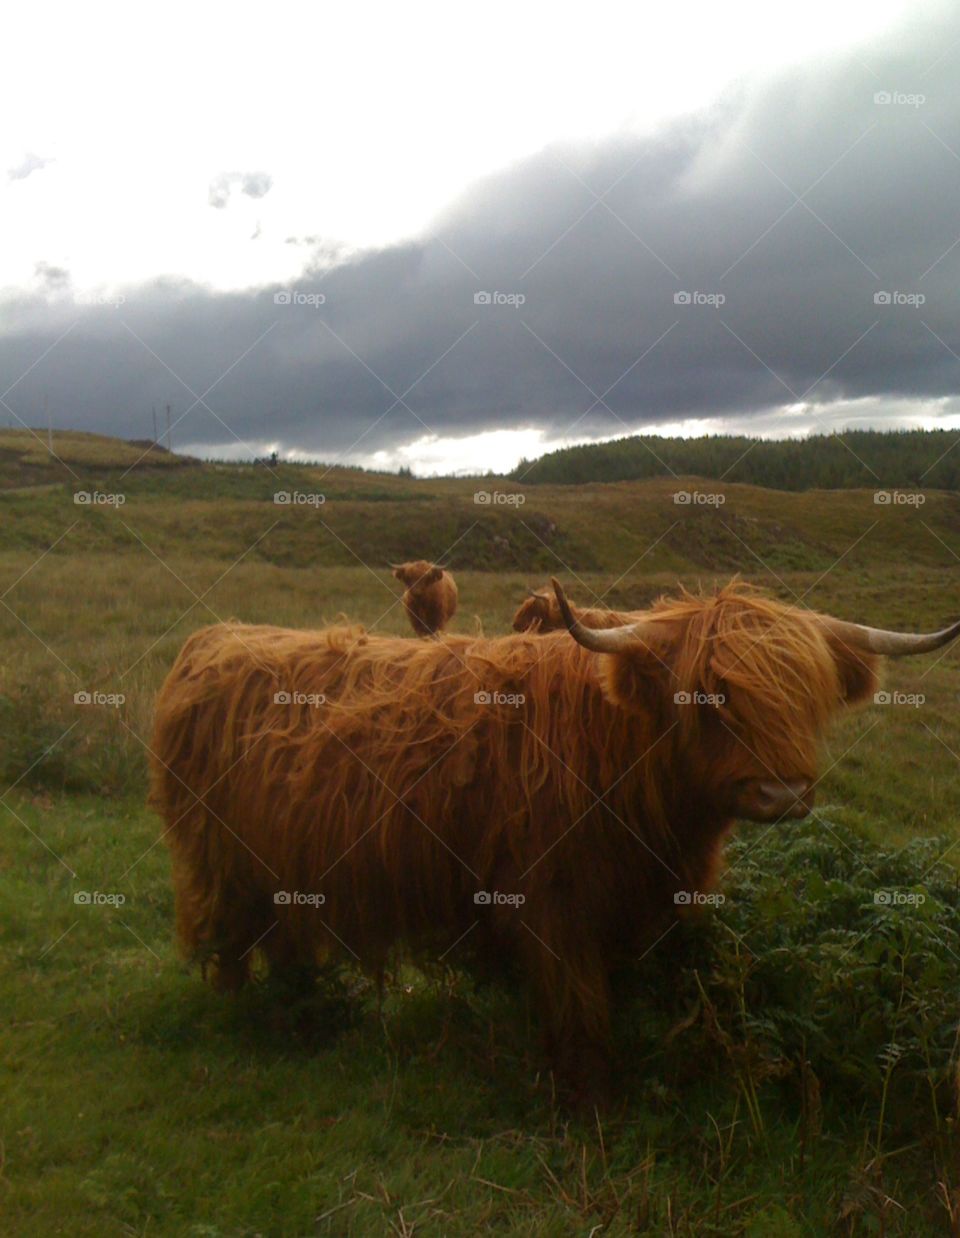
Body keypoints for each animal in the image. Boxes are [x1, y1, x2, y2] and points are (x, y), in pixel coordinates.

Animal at [150, 577, 960, 1105]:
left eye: (808, 696)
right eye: (713, 695)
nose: (783, 794)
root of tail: (210, 641)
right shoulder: (552, 902)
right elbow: (578, 1002)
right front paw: (587, 1092)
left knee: (283, 940)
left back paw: (306, 1011)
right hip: (224, 862)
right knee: (232, 942)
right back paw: (259, 1016)